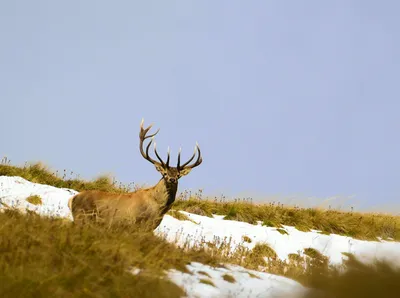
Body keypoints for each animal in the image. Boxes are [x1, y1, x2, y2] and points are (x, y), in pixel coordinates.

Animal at [67, 120, 203, 229]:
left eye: (179, 175)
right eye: (164, 173)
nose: (172, 179)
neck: (159, 210)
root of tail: (72, 199)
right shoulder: (135, 224)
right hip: (82, 217)